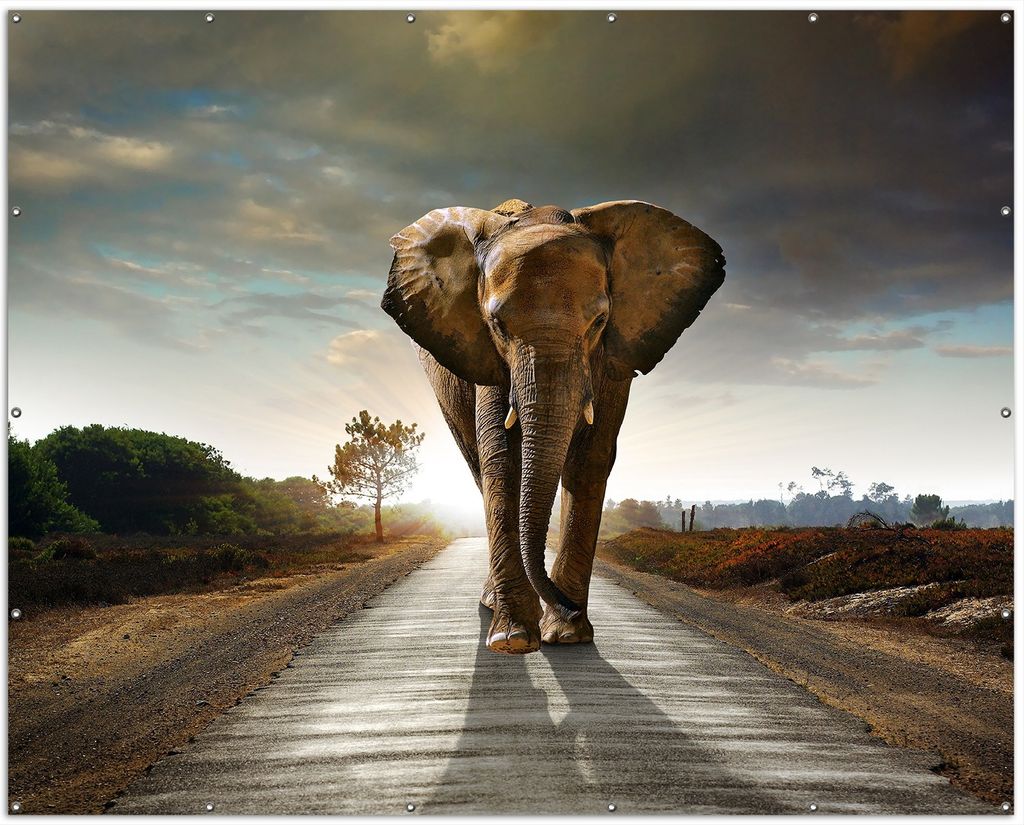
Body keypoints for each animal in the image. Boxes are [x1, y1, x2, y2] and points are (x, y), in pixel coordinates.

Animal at [381, 198, 725, 654]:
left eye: (599, 322)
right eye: (497, 325)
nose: (567, 606)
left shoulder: (613, 357)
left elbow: (591, 458)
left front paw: (566, 635)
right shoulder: (488, 358)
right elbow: (501, 457)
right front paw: (513, 639)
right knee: (477, 464)